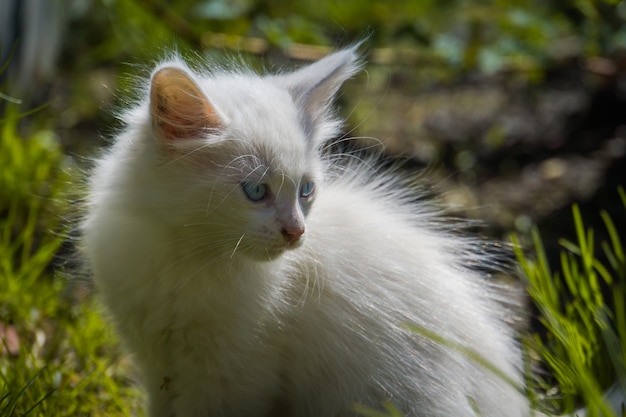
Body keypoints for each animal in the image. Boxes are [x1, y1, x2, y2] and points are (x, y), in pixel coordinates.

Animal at [81, 45, 532, 416]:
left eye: (306, 190)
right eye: (255, 191)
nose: (296, 232)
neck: (185, 255)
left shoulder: (230, 375)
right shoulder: (155, 359)